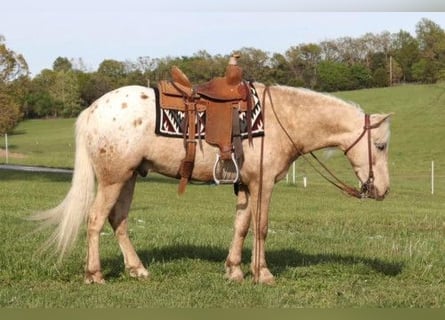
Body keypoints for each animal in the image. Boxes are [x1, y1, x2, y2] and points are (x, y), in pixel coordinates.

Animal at [33, 83, 390, 284]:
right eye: (382, 145)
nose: (383, 190)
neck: (280, 120)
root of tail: (92, 110)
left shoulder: (245, 185)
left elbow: (241, 226)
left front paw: (234, 270)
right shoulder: (263, 185)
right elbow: (261, 227)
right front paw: (262, 274)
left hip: (129, 177)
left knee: (117, 221)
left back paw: (137, 270)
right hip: (113, 178)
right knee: (95, 220)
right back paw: (94, 275)